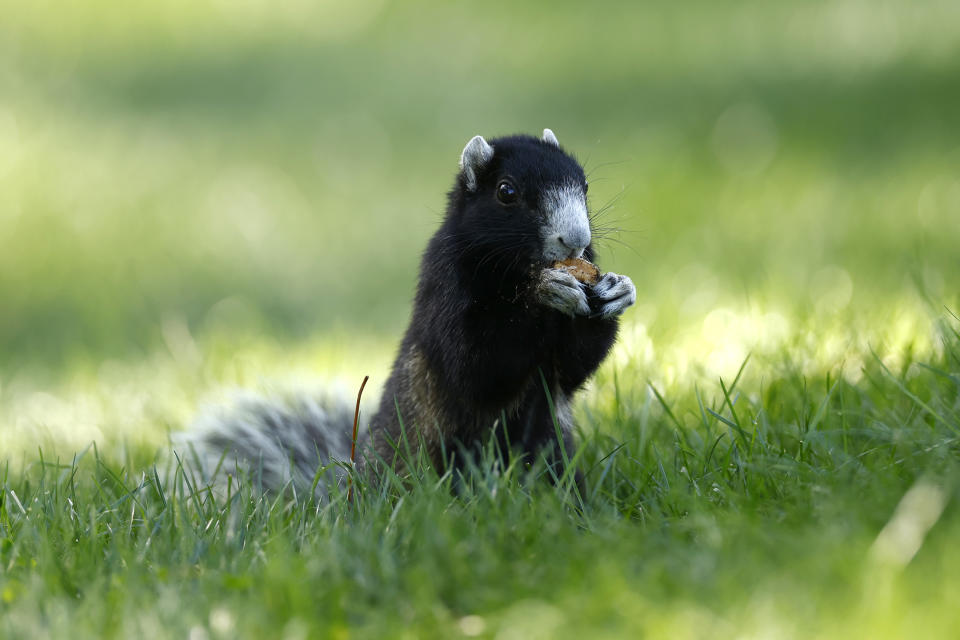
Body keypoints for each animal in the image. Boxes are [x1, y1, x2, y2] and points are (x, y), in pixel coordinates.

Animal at [182, 130, 636, 496]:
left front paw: (616, 291)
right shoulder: (443, 291)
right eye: (507, 192)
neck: (513, 271)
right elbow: (477, 362)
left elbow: (572, 367)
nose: (576, 240)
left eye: (585, 185)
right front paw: (546, 289)